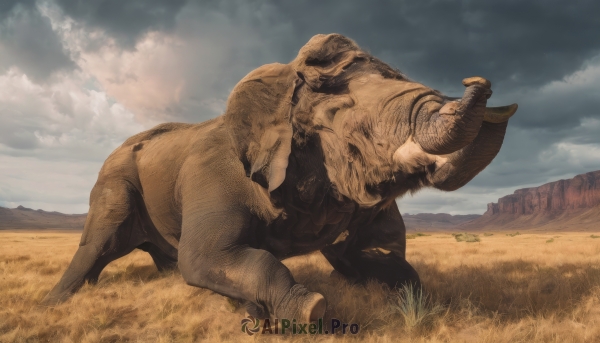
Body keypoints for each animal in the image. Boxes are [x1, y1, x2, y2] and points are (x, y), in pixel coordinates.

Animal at [42, 33, 516, 324]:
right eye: (343, 111)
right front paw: (312, 310)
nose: (480, 80)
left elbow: (370, 255)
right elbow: (207, 257)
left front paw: (416, 298)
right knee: (99, 245)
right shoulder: (214, 174)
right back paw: (53, 303)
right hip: (114, 185)